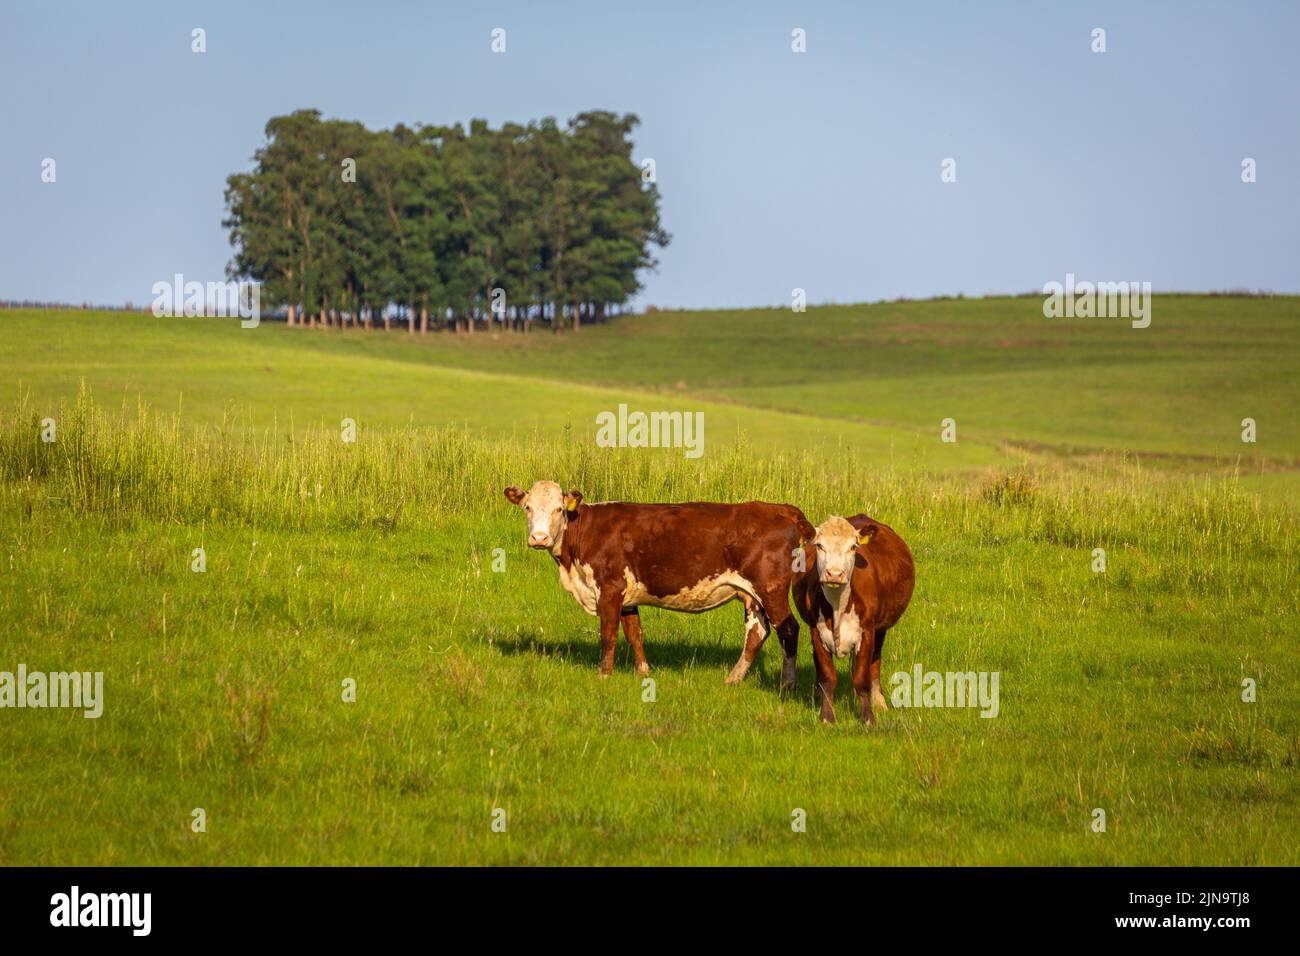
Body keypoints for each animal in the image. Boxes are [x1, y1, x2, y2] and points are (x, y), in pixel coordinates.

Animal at [499, 481, 811, 686]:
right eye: (527, 507)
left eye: (559, 509)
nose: (539, 538)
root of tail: (781, 509)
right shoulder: (626, 596)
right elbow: (634, 633)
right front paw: (643, 671)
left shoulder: (609, 588)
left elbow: (608, 634)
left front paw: (604, 674)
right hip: (752, 595)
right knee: (757, 633)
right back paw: (733, 679)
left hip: (771, 589)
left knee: (788, 630)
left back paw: (787, 684)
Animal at [790, 515, 915, 723]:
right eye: (819, 546)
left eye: (853, 547)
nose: (834, 574)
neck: (838, 605)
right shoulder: (816, 631)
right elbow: (828, 677)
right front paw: (826, 717)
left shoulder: (867, 632)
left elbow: (861, 678)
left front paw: (868, 718)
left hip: (880, 630)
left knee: (875, 662)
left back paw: (878, 701)